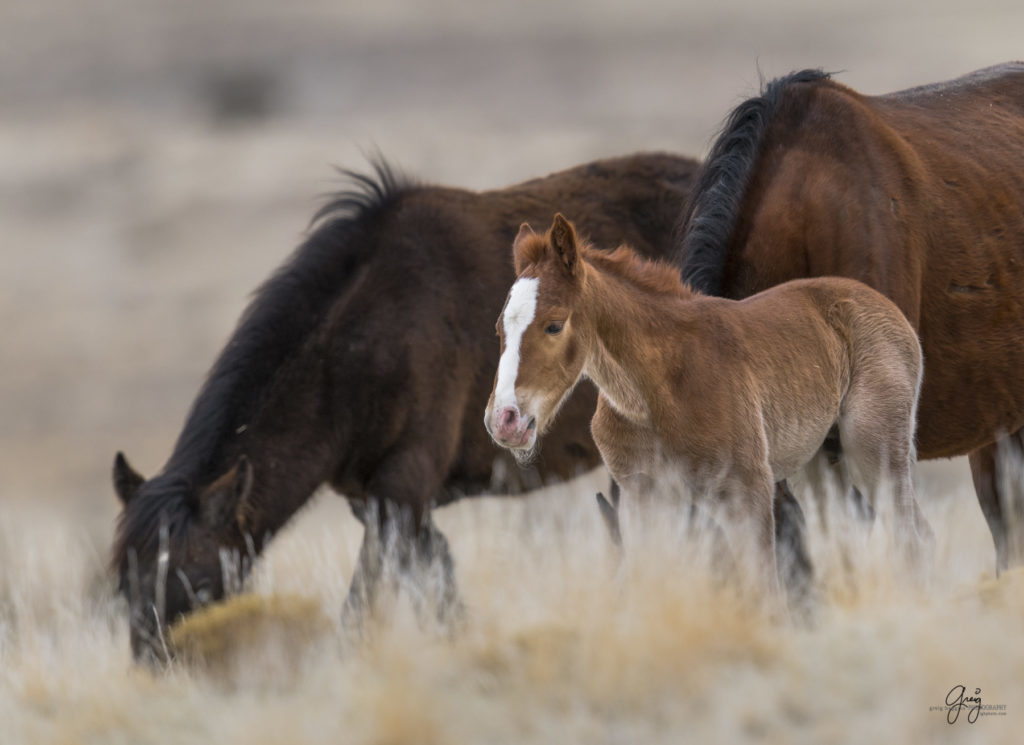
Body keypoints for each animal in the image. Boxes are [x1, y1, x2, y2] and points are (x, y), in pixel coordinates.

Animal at [112, 152, 704, 663]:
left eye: (198, 583)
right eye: (122, 580)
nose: (155, 668)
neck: (361, 342)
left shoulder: (400, 492)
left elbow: (362, 610)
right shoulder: (382, 502)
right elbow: (438, 595)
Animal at [487, 214, 937, 597]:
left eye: (554, 325)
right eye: (498, 329)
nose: (504, 420)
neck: (657, 391)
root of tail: (885, 307)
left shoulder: (748, 488)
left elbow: (763, 588)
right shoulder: (643, 495)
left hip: (873, 451)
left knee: (909, 536)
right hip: (822, 464)